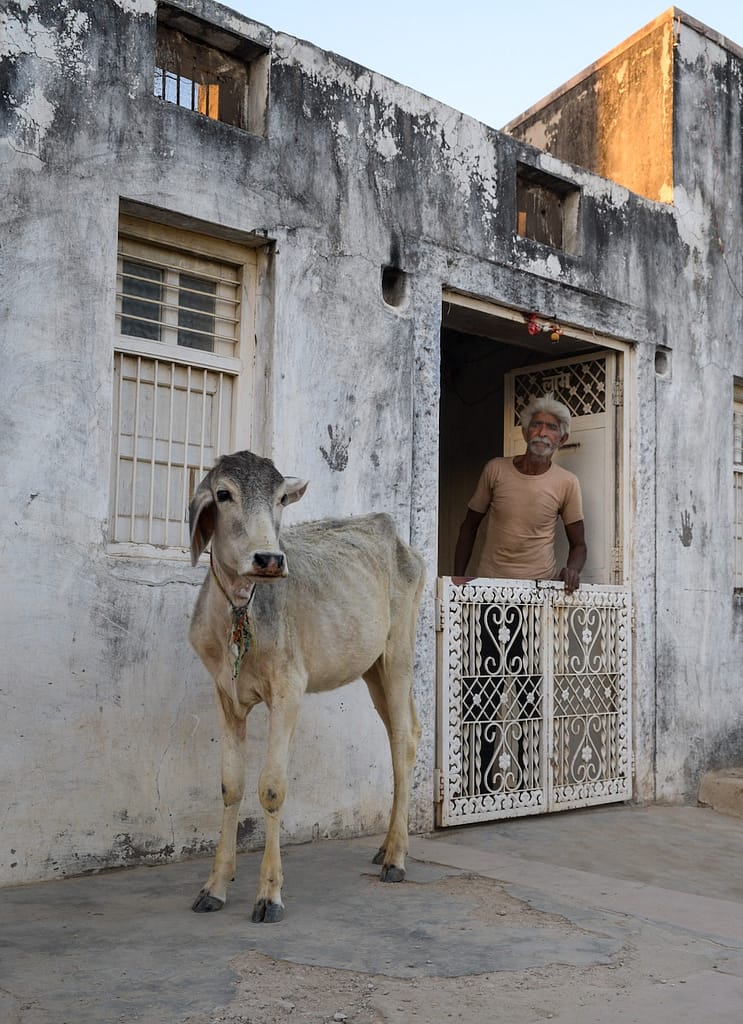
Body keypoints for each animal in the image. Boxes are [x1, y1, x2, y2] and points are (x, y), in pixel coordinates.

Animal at [188, 450, 425, 922]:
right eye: (223, 494)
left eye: (281, 497)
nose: (269, 558)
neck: (240, 611)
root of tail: (398, 539)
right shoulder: (225, 695)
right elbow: (231, 785)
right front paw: (215, 885)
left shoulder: (288, 691)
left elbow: (271, 788)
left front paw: (269, 894)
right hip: (372, 669)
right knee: (401, 734)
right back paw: (387, 846)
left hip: (398, 657)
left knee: (403, 743)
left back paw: (396, 858)